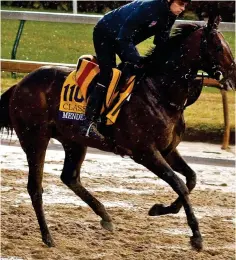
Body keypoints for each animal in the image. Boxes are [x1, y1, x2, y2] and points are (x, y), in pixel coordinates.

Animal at [0, 15, 235, 251]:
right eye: (217, 47)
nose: (232, 74)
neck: (160, 92)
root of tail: (19, 85)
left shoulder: (168, 150)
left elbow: (191, 179)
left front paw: (160, 209)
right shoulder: (145, 152)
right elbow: (179, 184)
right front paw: (196, 236)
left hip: (74, 140)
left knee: (70, 177)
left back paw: (104, 216)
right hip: (35, 138)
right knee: (35, 187)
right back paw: (48, 236)